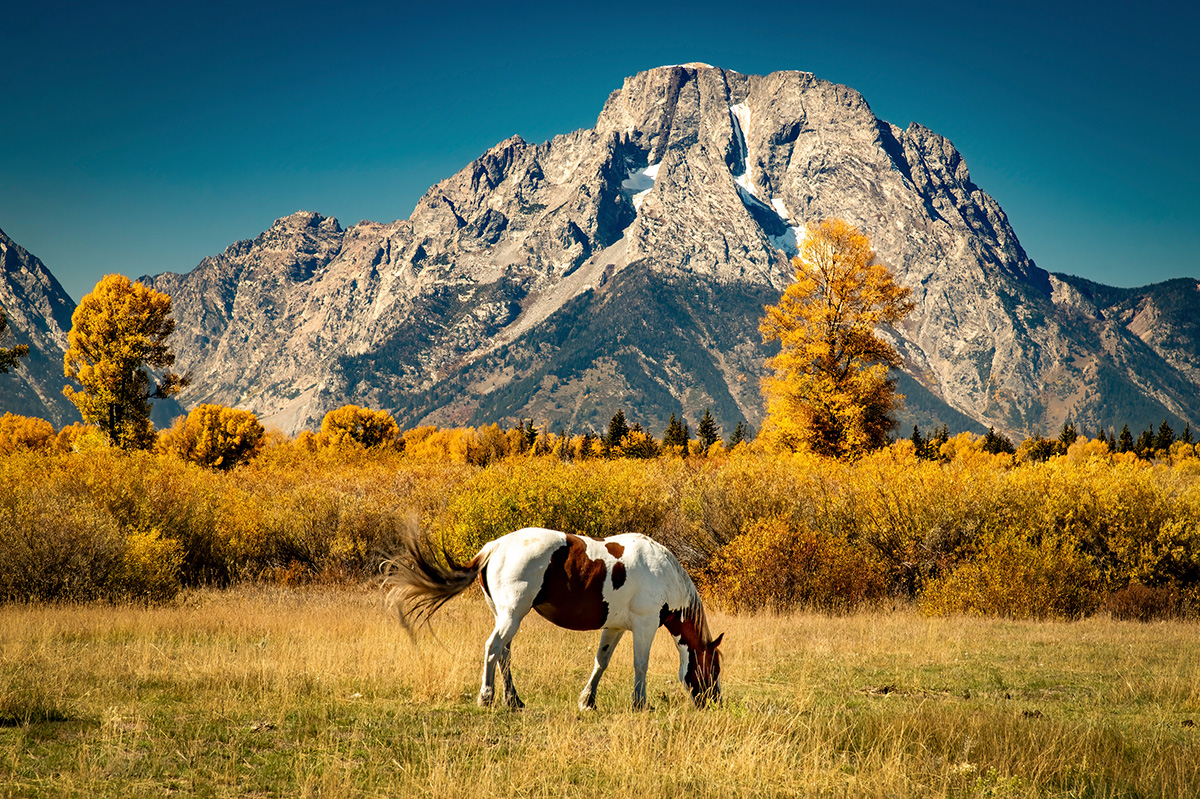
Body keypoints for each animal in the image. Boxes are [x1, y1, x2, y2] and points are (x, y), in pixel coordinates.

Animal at [384, 525, 720, 705]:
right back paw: (487, 696)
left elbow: (601, 662)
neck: (662, 573)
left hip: (504, 616)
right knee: (493, 649)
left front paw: (587, 701)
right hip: (512, 615)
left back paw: (513, 701)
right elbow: (641, 664)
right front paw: (640, 703)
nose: (713, 701)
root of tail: (495, 546)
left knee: (504, 654)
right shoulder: (645, 624)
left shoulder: (614, 628)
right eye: (714, 668)